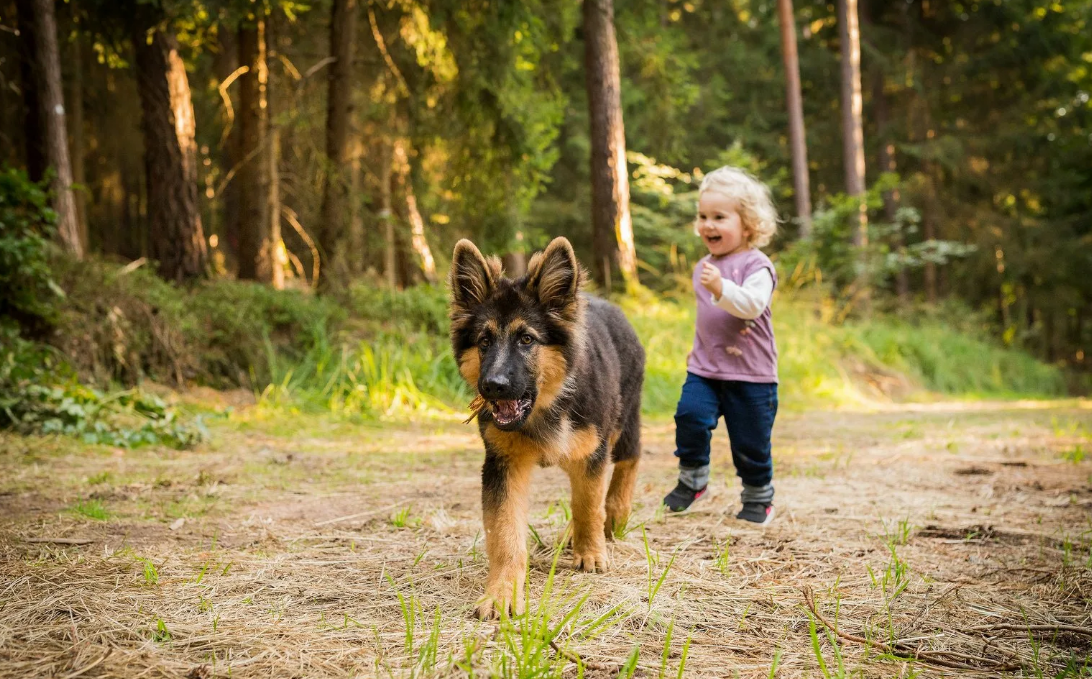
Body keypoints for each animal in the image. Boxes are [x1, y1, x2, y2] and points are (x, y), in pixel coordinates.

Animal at [447, 237, 642, 624]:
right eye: (484, 341)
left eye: (526, 339)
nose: (492, 386)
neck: (543, 407)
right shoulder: (502, 465)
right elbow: (505, 534)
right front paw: (502, 592)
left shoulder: (591, 452)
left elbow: (587, 504)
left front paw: (590, 552)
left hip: (623, 423)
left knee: (628, 463)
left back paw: (615, 513)